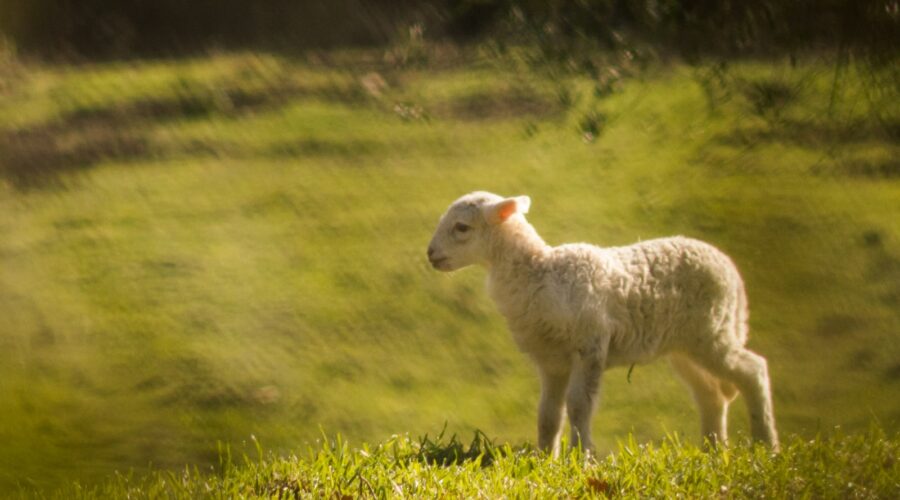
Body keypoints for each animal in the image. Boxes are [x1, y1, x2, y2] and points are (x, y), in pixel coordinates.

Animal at [426, 190, 776, 454]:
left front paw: (582, 458)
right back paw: (712, 451)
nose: (430, 254)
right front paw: (545, 459)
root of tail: (730, 269)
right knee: (711, 395)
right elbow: (548, 414)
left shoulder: (590, 344)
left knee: (753, 369)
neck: (538, 272)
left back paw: (765, 445)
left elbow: (579, 405)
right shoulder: (551, 360)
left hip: (712, 331)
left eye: (461, 227)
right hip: (686, 345)